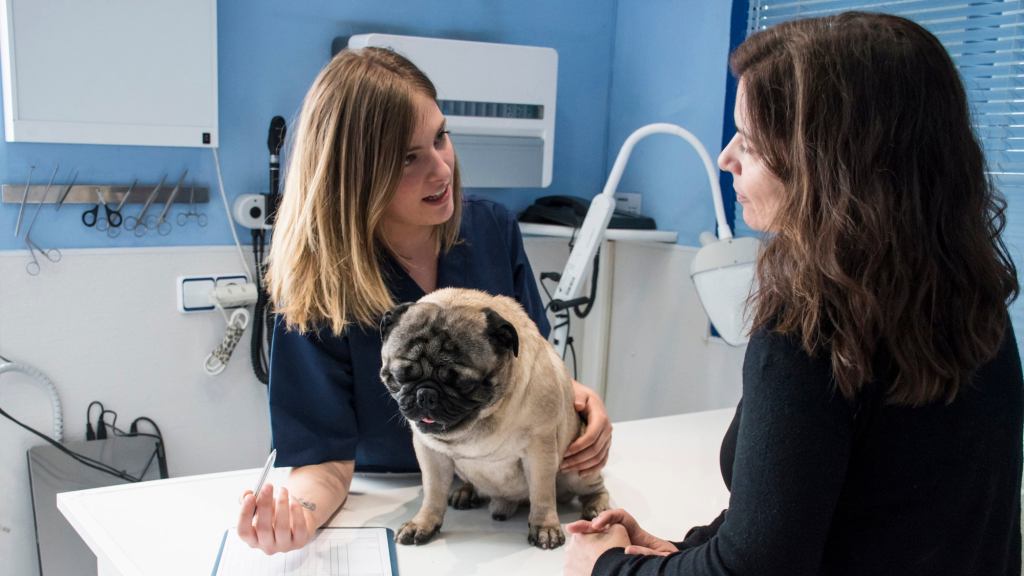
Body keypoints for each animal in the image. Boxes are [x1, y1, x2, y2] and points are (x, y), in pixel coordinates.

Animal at [382, 286, 606, 545]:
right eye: (400, 376)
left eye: (464, 383)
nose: (426, 394)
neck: (482, 420)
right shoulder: (431, 454)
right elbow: (433, 493)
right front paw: (423, 523)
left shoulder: (540, 450)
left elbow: (542, 493)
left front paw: (545, 526)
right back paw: (466, 492)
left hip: (576, 471)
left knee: (595, 489)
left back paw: (596, 507)